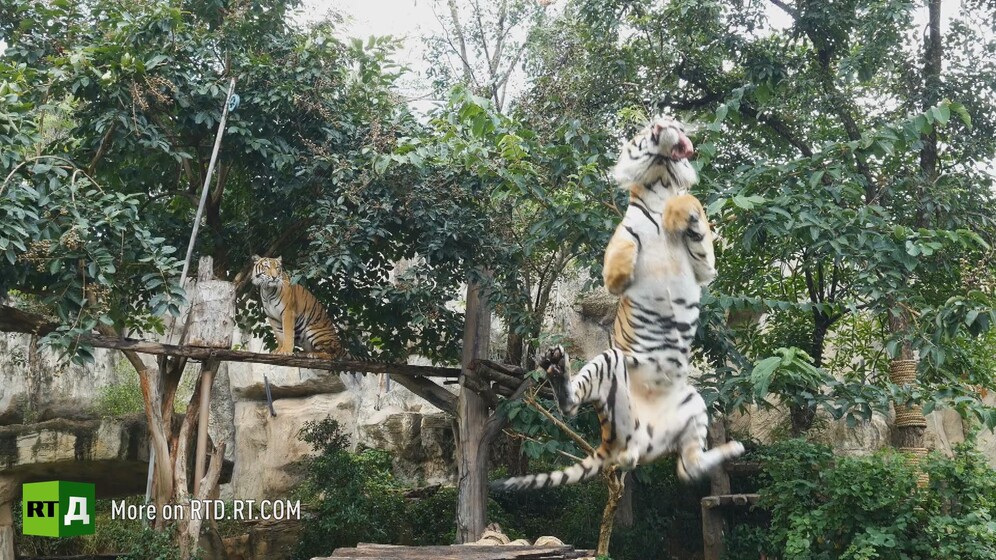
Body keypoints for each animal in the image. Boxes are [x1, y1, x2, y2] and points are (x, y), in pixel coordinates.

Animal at [491, 116, 744, 492]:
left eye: (670, 121)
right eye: (650, 128)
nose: (662, 125)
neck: (660, 185)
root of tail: (629, 443)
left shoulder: (705, 269)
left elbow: (694, 208)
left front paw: (681, 213)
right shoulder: (621, 244)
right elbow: (622, 249)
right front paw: (625, 265)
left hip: (694, 403)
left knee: (688, 467)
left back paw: (732, 449)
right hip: (611, 364)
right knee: (572, 406)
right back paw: (557, 368)